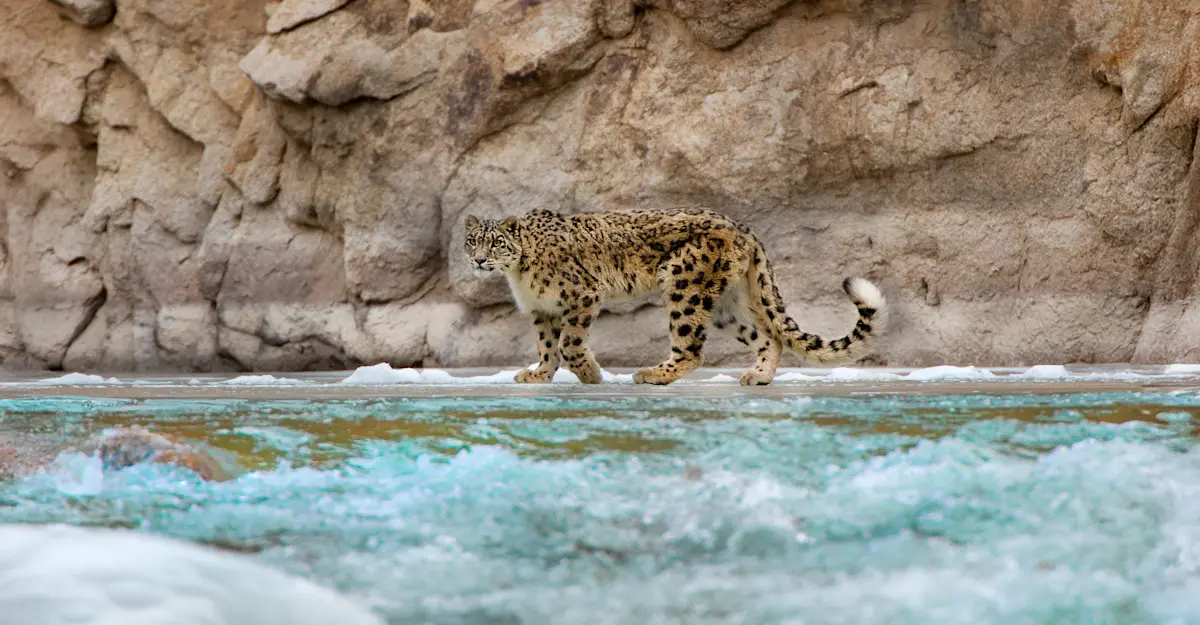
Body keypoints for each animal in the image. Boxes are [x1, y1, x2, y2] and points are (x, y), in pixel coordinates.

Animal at [462, 207, 887, 386]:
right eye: (472, 241)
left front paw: (591, 375)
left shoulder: (582, 297)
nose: (479, 260)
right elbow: (548, 346)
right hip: (725, 305)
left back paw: (653, 374)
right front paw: (538, 374)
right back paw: (758, 376)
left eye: (496, 242)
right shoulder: (542, 311)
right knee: (769, 336)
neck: (519, 275)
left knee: (691, 349)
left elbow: (569, 344)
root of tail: (742, 227)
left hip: (684, 286)